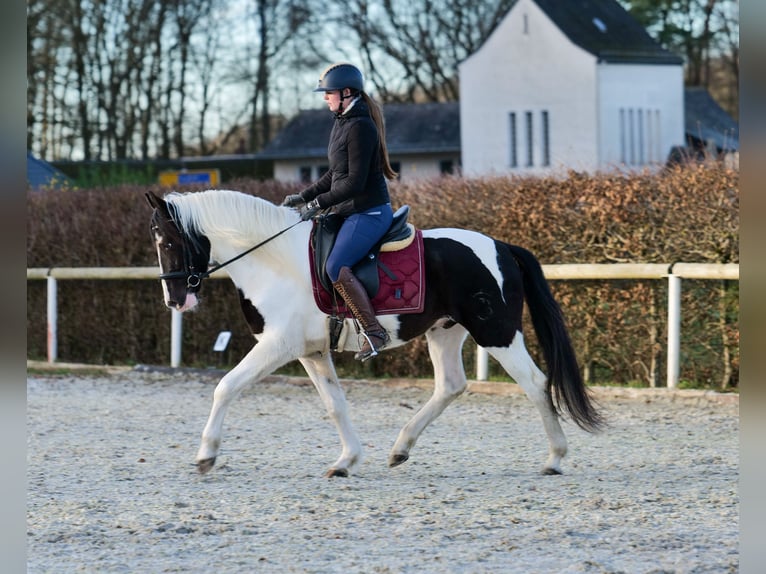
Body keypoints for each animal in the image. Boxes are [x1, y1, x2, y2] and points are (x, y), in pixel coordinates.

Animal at [147, 191, 608, 480]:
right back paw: (401, 447)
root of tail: (501, 245)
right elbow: (335, 405)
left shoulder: (278, 346)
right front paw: (346, 461)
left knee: (535, 383)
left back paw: (555, 458)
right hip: (445, 331)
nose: (175, 301)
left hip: (496, 333)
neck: (273, 260)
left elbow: (225, 387)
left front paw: (206, 456)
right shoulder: (311, 352)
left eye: (168, 241)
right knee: (451, 385)